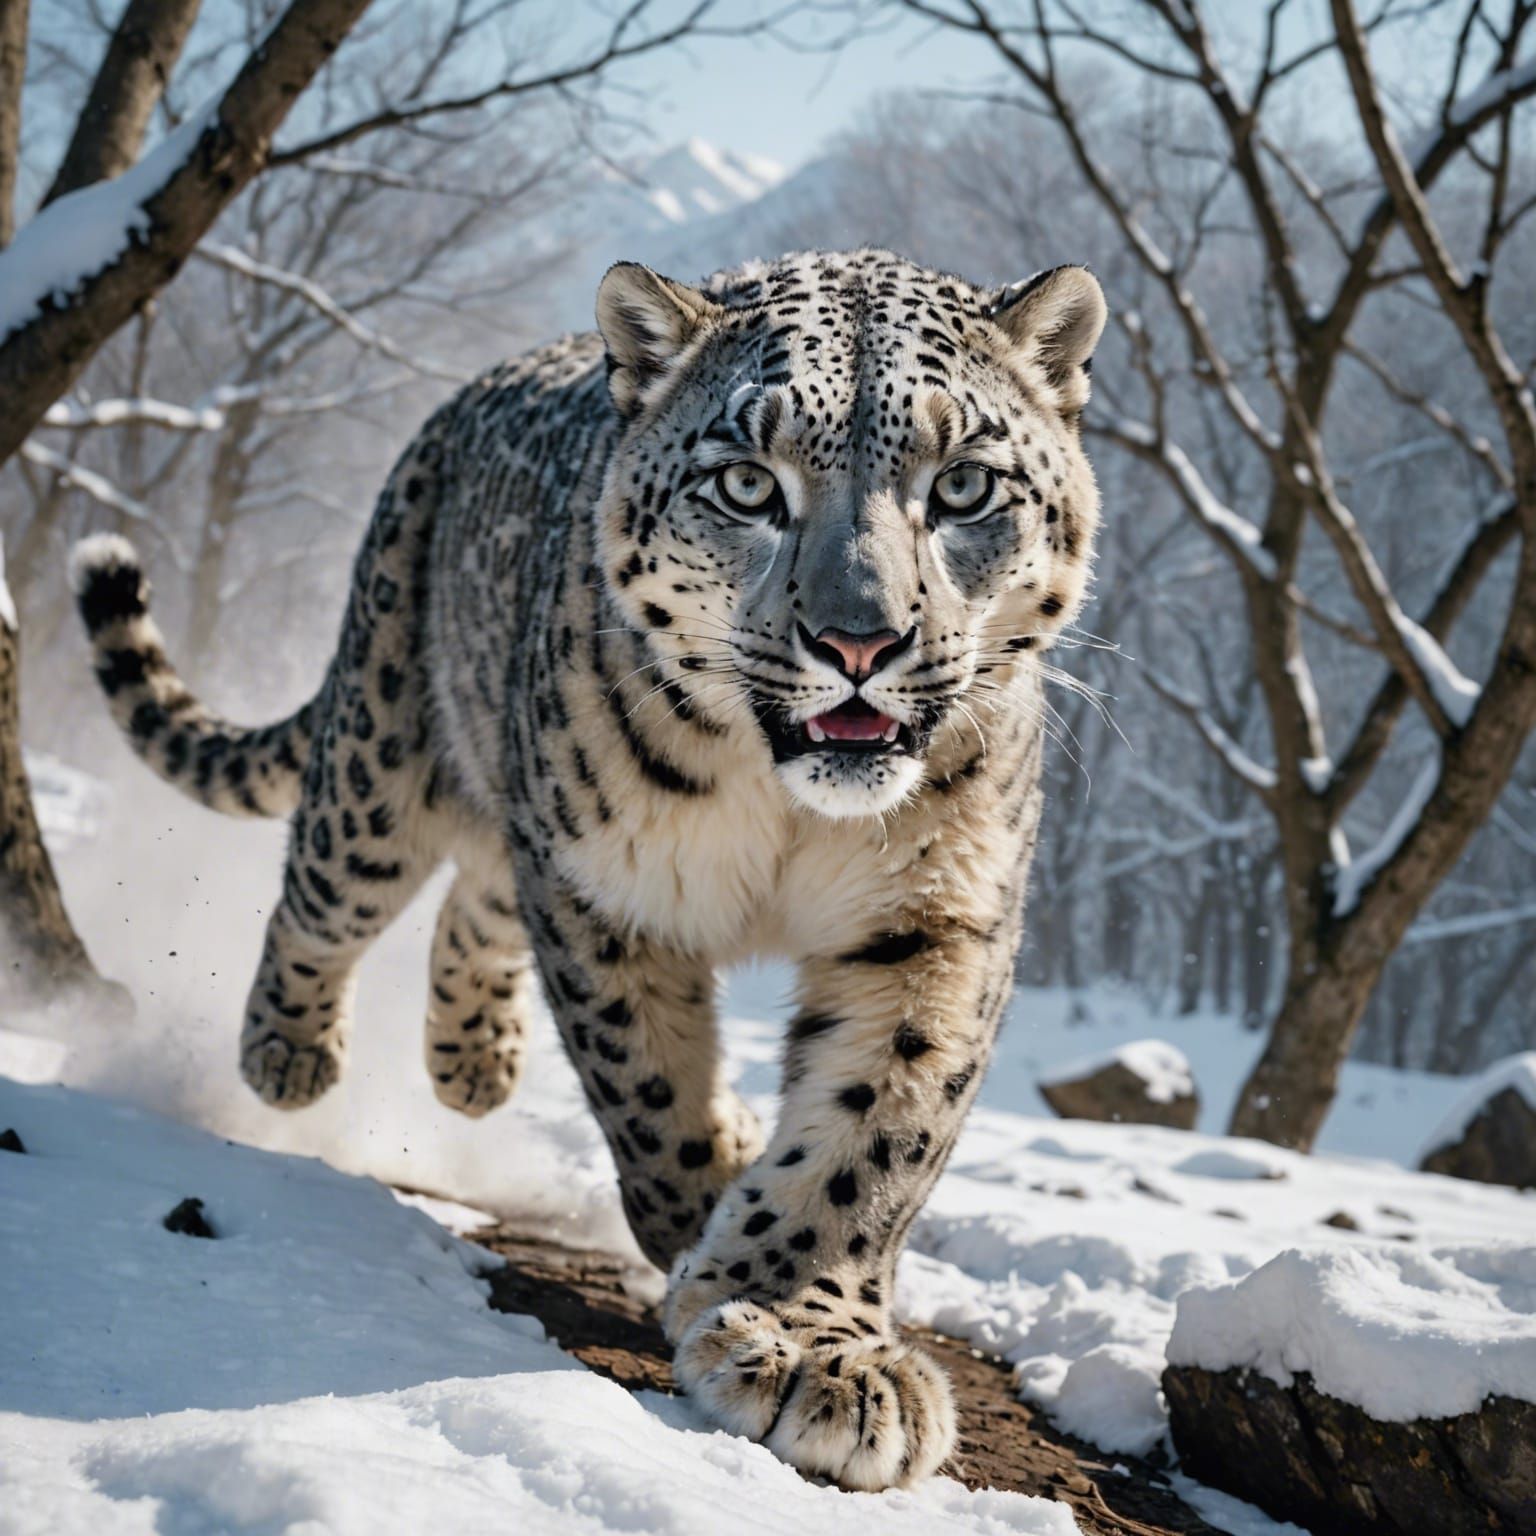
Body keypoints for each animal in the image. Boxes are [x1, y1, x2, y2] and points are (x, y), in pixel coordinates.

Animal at [71, 247, 1107, 1491]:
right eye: (747, 485)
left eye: (962, 488)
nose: (858, 642)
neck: (786, 811)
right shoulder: (607, 890)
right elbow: (647, 1089)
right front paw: (712, 1240)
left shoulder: (939, 918)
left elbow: (881, 1126)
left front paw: (807, 1333)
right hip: (387, 758)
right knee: (331, 888)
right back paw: (290, 1053)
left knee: (476, 900)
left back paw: (476, 1063)